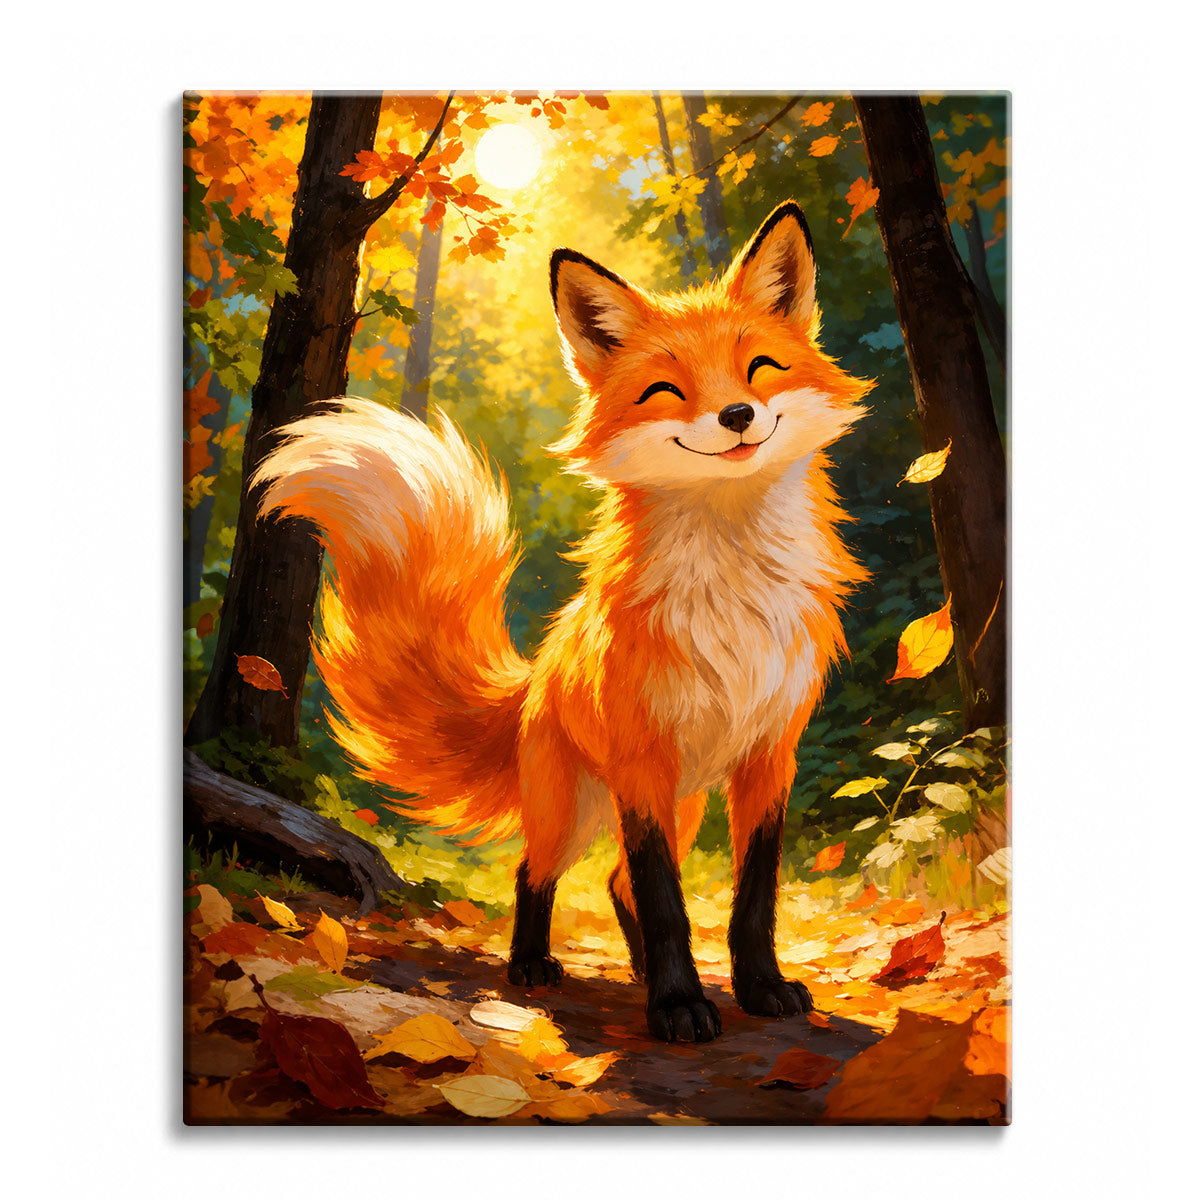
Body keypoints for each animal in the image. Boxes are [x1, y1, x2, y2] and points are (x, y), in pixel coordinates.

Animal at [254, 201, 872, 1043]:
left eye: (762, 370)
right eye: (666, 388)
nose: (737, 415)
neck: (731, 597)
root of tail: (535, 675)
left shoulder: (769, 757)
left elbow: (751, 897)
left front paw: (757, 988)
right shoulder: (643, 762)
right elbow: (668, 901)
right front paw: (678, 1006)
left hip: (683, 803)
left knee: (615, 883)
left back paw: (635, 972)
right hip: (574, 810)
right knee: (537, 871)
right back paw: (533, 966)